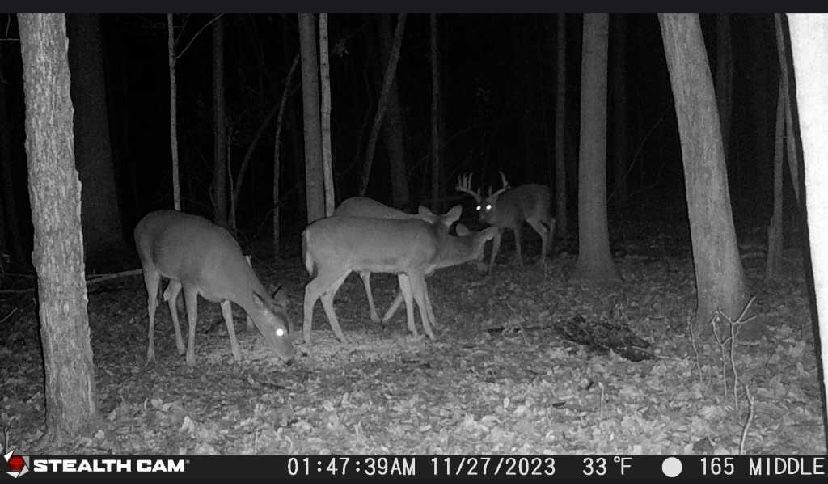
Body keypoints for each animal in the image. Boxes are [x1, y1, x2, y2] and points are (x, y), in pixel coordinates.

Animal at [134, 210, 294, 365]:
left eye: (290, 327)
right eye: (279, 331)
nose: (290, 359)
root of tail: (138, 225)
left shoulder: (222, 294)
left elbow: (228, 318)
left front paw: (238, 354)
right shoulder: (189, 281)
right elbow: (192, 317)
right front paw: (191, 359)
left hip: (175, 276)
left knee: (168, 295)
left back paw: (180, 347)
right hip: (148, 263)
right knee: (152, 303)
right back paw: (151, 354)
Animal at [301, 205, 463, 344]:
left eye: (449, 226)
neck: (433, 235)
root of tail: (307, 232)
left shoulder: (404, 270)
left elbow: (407, 295)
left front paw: (414, 332)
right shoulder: (415, 267)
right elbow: (419, 297)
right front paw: (430, 334)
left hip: (340, 267)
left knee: (326, 295)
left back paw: (341, 337)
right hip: (331, 264)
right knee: (311, 289)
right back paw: (307, 340)